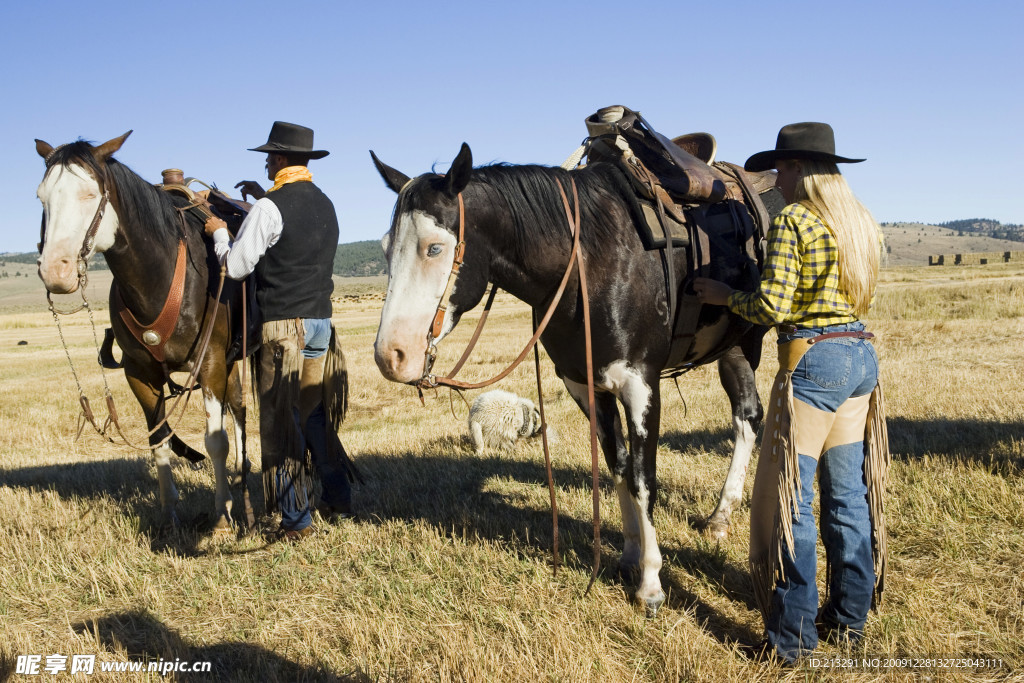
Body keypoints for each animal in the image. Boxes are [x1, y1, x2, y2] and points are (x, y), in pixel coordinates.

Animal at [36, 131, 253, 532]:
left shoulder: (211, 363)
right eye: (42, 197)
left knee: (242, 412)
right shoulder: (140, 373)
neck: (160, 276)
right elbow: (159, 440)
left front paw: (221, 515)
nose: (55, 271)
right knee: (236, 408)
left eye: (89, 194)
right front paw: (169, 515)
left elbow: (215, 441)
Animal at [370, 144, 770, 614]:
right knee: (747, 417)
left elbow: (642, 478)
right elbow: (617, 467)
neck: (590, 261)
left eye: (434, 248)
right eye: (385, 248)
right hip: (734, 348)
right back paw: (721, 516)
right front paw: (629, 555)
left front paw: (651, 583)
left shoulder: (641, 385)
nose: (391, 356)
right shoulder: (585, 386)